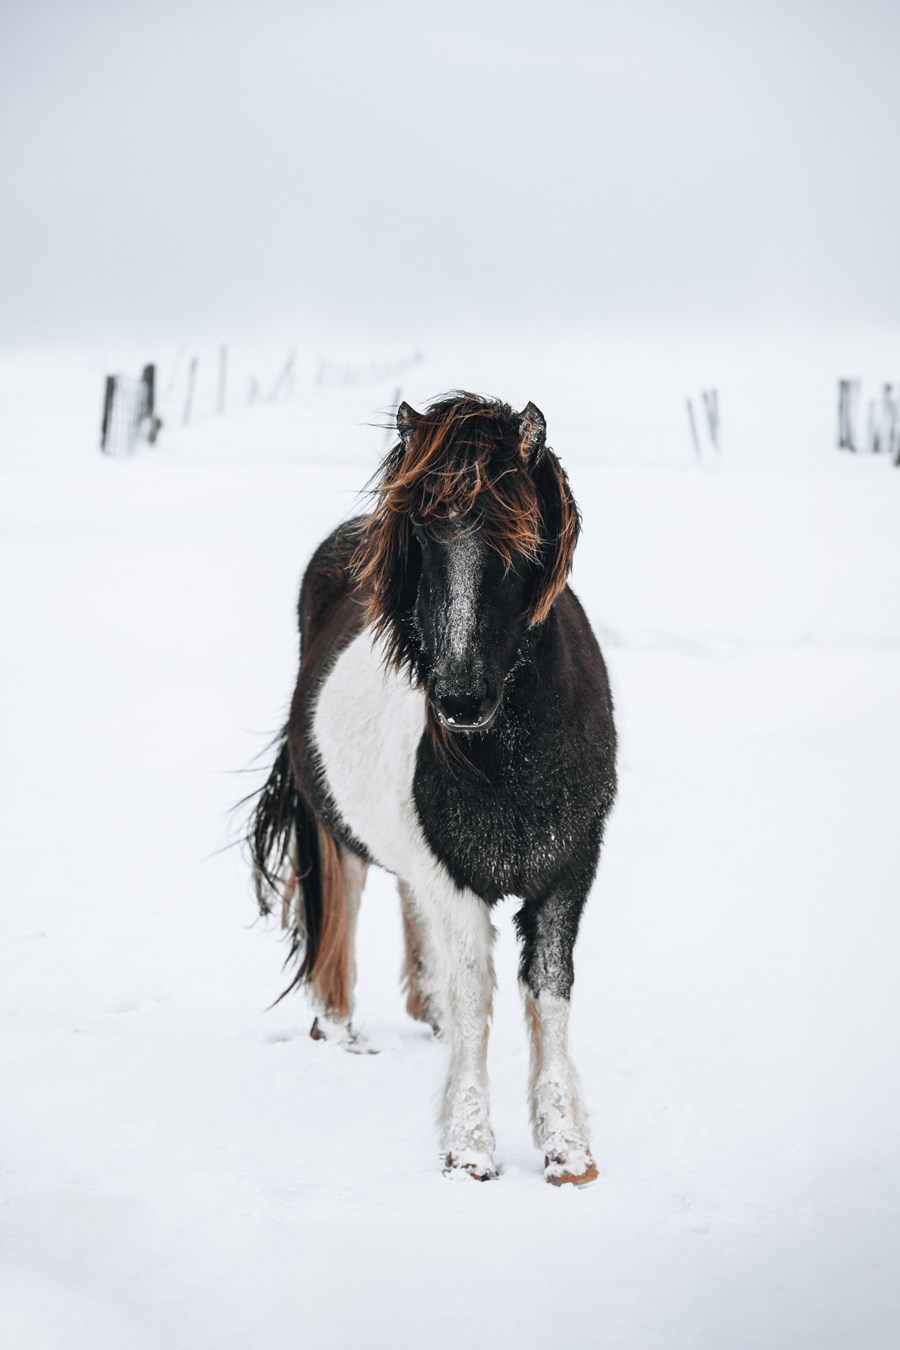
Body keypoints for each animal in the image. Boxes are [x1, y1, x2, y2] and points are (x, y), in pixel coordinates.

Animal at [248, 391, 620, 1182]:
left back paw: (425, 1014)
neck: (517, 760)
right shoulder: (456, 876)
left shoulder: (569, 872)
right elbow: (476, 992)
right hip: (335, 831)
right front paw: (470, 1146)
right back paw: (342, 1029)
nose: (459, 699)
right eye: (421, 536)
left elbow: (549, 996)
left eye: (522, 541)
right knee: (344, 911)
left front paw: (567, 1149)